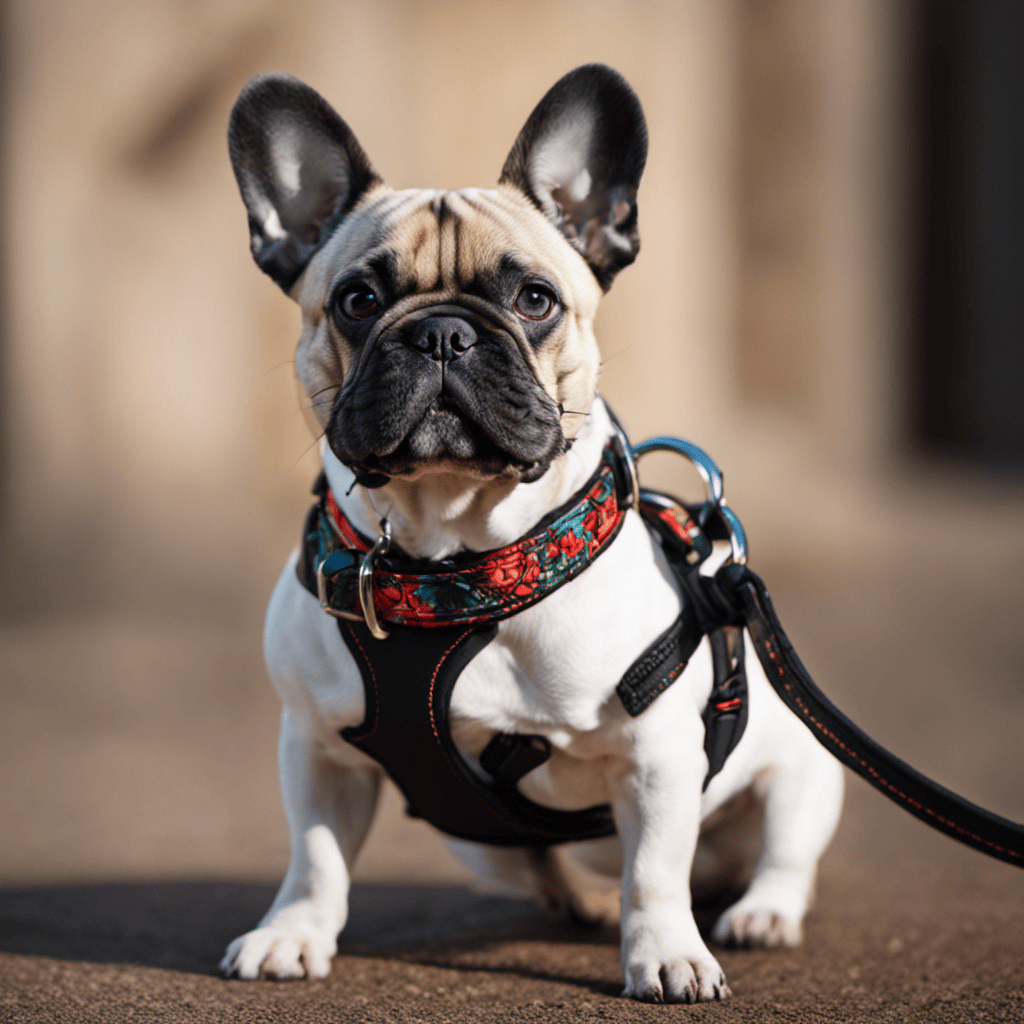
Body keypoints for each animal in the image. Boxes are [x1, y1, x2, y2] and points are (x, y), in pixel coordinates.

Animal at [216, 61, 839, 999]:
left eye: (534, 299)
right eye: (358, 300)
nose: (442, 332)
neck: (448, 562)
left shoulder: (659, 758)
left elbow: (655, 870)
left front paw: (667, 954)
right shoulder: (317, 749)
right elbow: (315, 858)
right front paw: (292, 934)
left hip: (807, 769)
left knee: (780, 854)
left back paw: (757, 913)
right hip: (473, 840)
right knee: (542, 861)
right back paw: (582, 900)